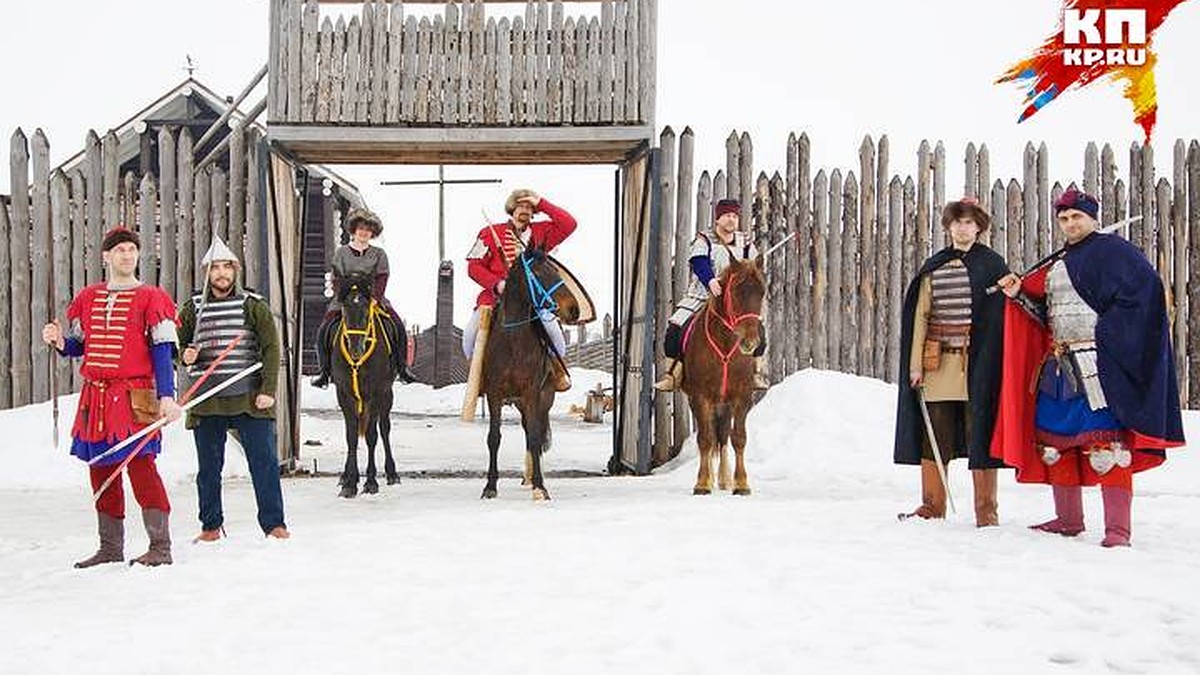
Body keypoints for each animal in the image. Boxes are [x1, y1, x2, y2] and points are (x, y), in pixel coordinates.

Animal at [331, 270, 400, 497]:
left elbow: (371, 435)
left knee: (384, 429)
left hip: (387, 396)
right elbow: (351, 436)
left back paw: (392, 473)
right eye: (344, 309)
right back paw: (344, 476)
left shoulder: (376, 393)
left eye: (365, 309)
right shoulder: (344, 394)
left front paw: (370, 481)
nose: (355, 349)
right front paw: (350, 483)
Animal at [482, 243, 585, 497]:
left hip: (542, 398)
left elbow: (536, 438)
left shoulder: (532, 392)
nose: (573, 310)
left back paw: (532, 479)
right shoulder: (494, 393)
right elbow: (494, 437)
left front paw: (540, 486)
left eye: (556, 272)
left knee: (533, 433)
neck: (513, 341)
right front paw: (490, 486)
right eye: (538, 274)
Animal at [681, 257, 763, 494]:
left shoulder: (742, 397)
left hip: (724, 404)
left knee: (724, 435)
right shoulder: (700, 397)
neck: (725, 342)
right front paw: (702, 483)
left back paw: (725, 479)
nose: (750, 343)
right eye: (735, 291)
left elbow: (738, 438)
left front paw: (741, 483)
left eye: (762, 292)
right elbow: (705, 439)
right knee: (710, 435)